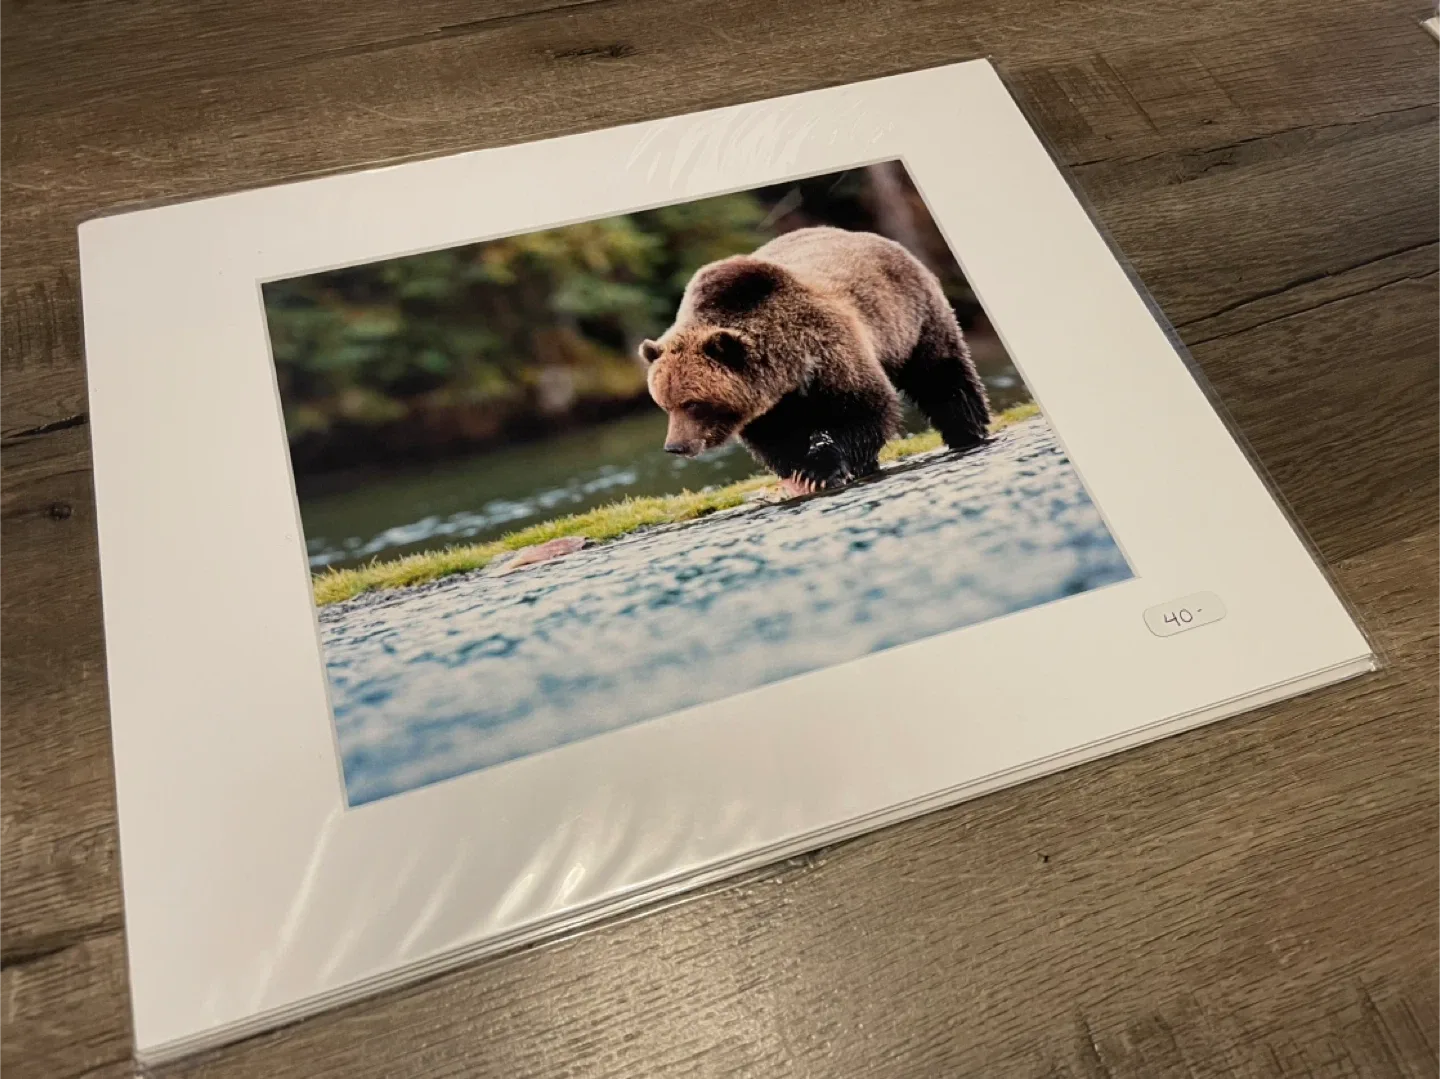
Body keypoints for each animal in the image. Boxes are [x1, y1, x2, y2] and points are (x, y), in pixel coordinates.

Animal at [640, 226, 991, 496]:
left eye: (692, 403)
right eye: (665, 405)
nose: (675, 446)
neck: (788, 373)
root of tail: (872, 236)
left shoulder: (830, 352)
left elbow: (863, 409)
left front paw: (819, 470)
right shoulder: (769, 407)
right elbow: (777, 440)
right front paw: (800, 470)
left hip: (913, 318)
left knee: (941, 374)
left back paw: (967, 433)